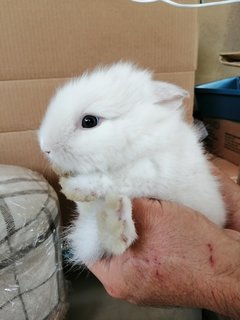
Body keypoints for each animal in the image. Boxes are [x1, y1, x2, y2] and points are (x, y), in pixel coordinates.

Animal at [38, 62, 226, 264]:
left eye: (89, 121)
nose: (45, 148)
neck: (140, 136)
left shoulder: (150, 172)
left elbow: (112, 179)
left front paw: (73, 187)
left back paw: (116, 219)